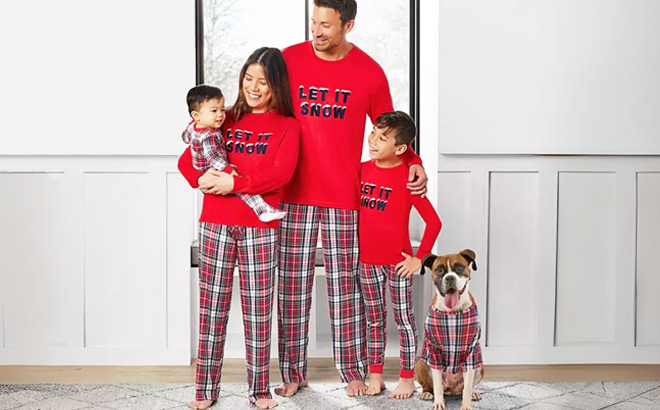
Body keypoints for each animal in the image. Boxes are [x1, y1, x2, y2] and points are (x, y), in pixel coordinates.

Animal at [418, 250, 484, 410]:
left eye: (459, 267)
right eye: (439, 270)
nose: (449, 278)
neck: (453, 312)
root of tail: (452, 390)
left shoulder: (471, 352)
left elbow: (467, 387)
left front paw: (466, 405)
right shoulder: (434, 351)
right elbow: (437, 385)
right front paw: (438, 403)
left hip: (480, 366)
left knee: (466, 387)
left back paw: (474, 393)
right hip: (421, 363)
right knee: (430, 386)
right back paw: (427, 393)